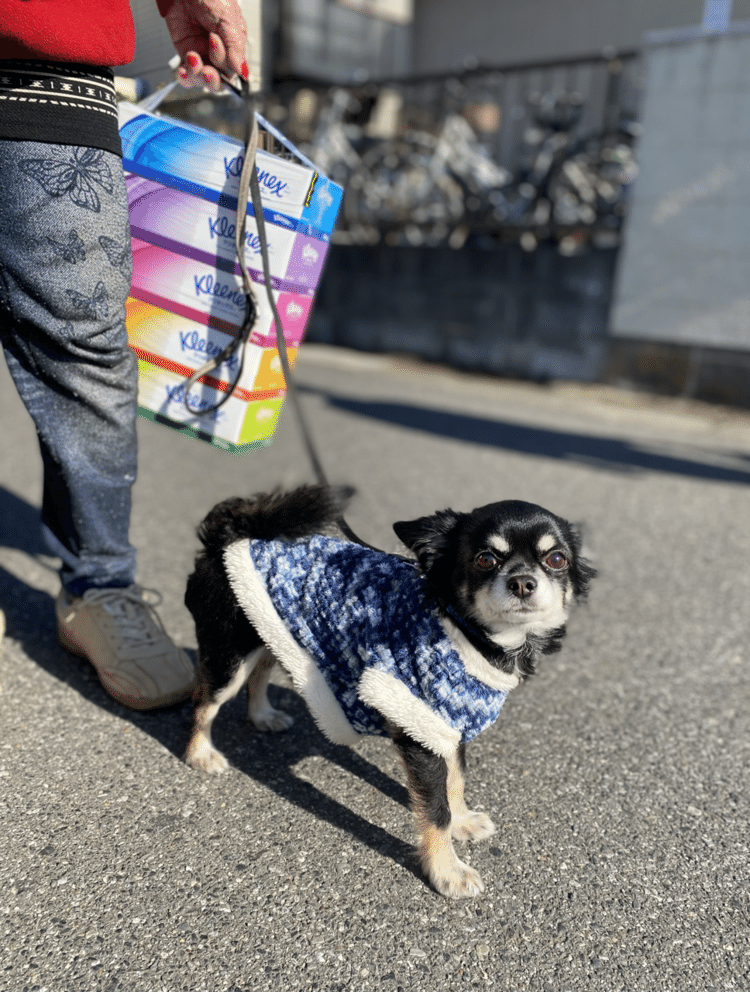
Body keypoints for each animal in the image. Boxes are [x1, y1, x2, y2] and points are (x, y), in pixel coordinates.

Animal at [185, 484, 596, 896]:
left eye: (557, 559)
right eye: (485, 559)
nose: (523, 582)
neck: (467, 632)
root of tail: (232, 532)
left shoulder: (449, 722)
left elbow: (456, 780)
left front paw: (462, 821)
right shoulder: (421, 729)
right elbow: (435, 810)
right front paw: (447, 870)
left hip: (267, 634)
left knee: (261, 671)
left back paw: (262, 716)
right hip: (229, 655)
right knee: (205, 702)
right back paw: (200, 754)